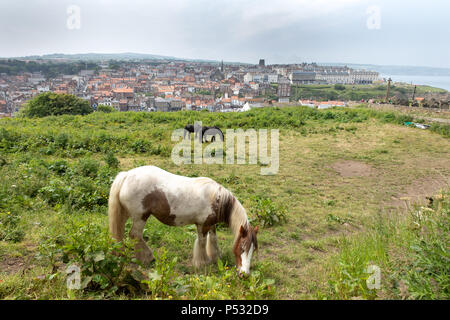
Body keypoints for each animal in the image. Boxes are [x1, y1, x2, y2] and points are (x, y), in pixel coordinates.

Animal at [107, 166, 258, 274]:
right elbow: (202, 242)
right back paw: (147, 258)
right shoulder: (202, 225)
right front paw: (202, 263)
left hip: (126, 214)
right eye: (242, 248)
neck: (217, 198)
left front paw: (215, 257)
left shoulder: (211, 224)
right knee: (135, 235)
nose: (244, 274)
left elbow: (213, 240)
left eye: (253, 250)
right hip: (140, 217)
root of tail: (127, 175)